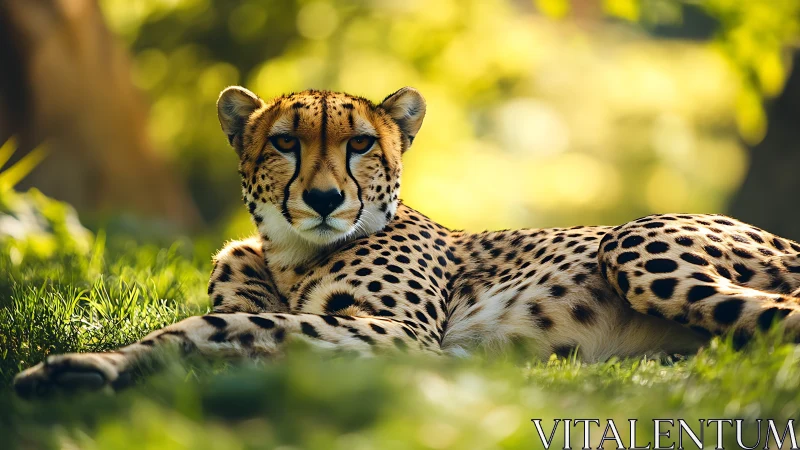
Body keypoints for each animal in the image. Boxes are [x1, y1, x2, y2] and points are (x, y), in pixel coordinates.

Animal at [13, 85, 800, 397]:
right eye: (285, 143)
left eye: (361, 143)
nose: (324, 199)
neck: (292, 259)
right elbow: (238, 331)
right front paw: (97, 370)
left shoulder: (401, 334)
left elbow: (218, 324)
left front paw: (87, 363)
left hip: (632, 245)